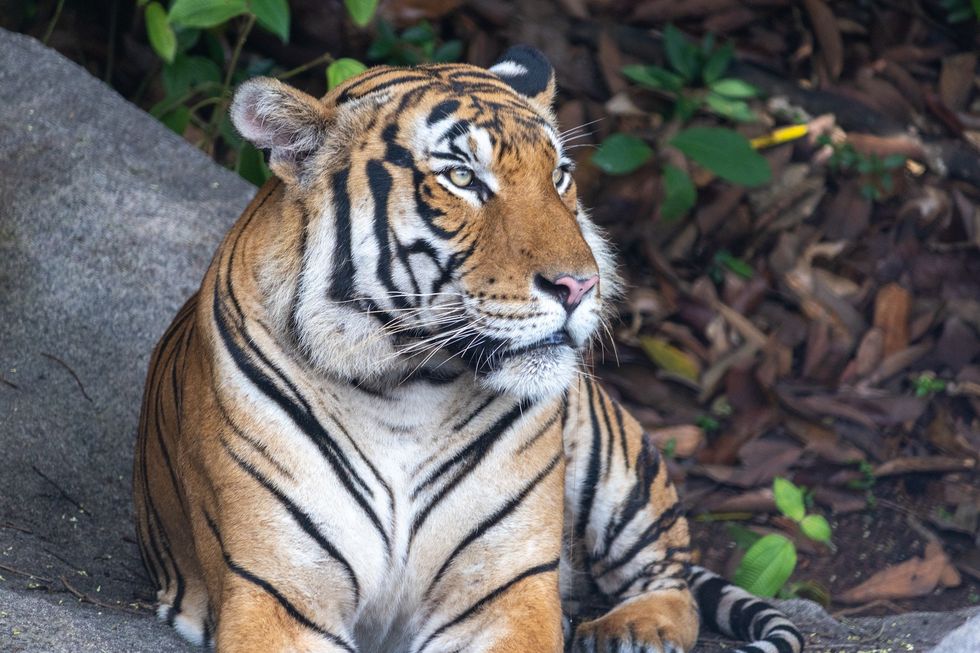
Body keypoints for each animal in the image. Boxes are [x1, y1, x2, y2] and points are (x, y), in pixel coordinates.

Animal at [133, 45, 805, 653]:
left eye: (559, 176)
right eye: (462, 178)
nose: (580, 285)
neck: (404, 390)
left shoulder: (505, 593)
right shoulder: (278, 594)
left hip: (616, 466)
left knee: (669, 573)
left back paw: (635, 631)